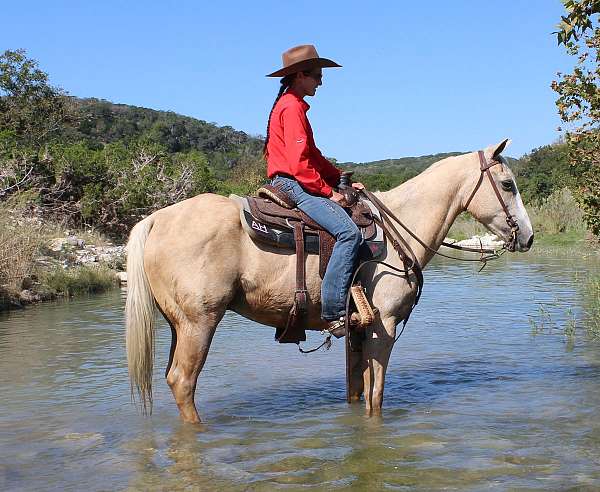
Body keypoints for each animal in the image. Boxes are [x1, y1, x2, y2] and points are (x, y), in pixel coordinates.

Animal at [125, 138, 536, 422]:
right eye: (508, 185)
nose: (529, 237)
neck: (398, 231)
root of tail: (157, 218)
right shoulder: (384, 326)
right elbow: (376, 397)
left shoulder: (358, 330)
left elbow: (357, 389)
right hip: (199, 322)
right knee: (183, 381)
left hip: (178, 325)